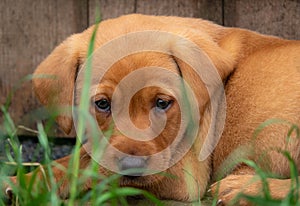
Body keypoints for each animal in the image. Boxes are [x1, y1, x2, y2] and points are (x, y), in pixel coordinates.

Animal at [2, 14, 300, 204]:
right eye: (102, 104)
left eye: (161, 103)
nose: (132, 168)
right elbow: (77, 159)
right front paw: (22, 182)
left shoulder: (185, 174)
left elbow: (81, 164)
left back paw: (244, 188)